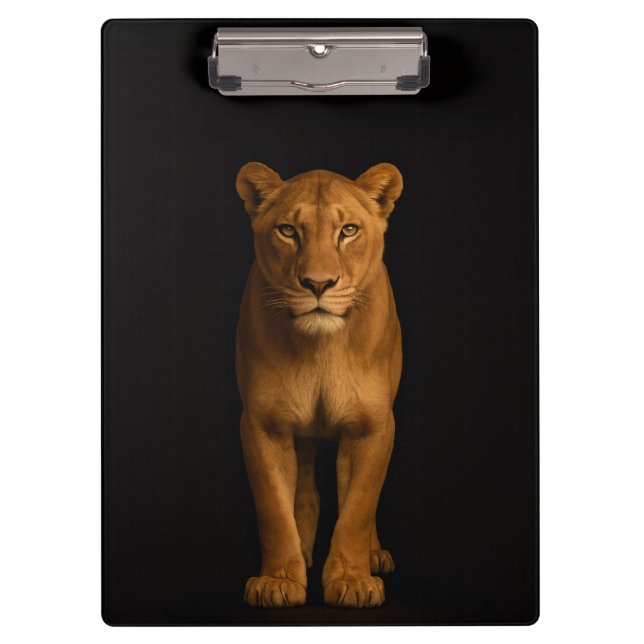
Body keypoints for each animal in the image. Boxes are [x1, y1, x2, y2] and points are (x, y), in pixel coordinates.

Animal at [235, 162, 403, 608]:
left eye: (348, 230)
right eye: (288, 231)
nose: (318, 283)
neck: (321, 349)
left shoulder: (373, 426)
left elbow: (358, 508)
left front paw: (353, 581)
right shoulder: (263, 424)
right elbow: (274, 508)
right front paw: (278, 581)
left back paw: (373, 556)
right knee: (305, 491)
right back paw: (304, 555)